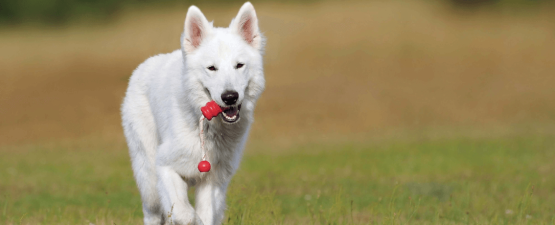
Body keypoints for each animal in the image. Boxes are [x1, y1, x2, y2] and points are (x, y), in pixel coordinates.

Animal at [121, 2, 268, 224]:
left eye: (239, 65)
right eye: (212, 68)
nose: (230, 97)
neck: (207, 128)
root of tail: (143, 66)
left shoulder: (212, 181)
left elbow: (204, 215)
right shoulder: (165, 167)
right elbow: (186, 214)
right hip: (149, 182)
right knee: (152, 212)